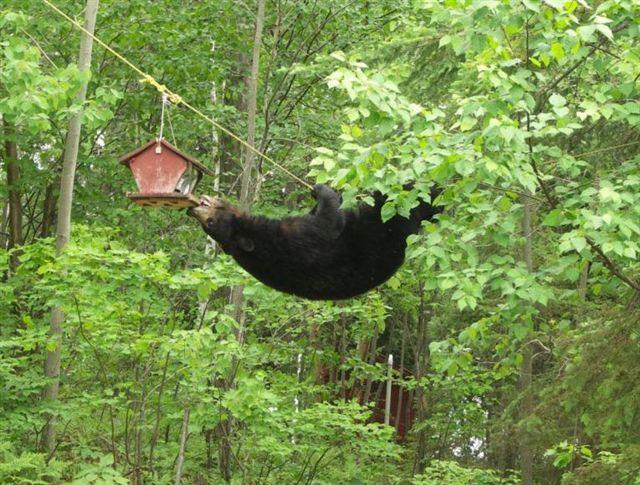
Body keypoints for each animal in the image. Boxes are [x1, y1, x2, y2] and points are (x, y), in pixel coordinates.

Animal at [188, 184, 442, 300]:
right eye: (210, 224)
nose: (194, 210)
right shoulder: (295, 240)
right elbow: (328, 223)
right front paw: (323, 191)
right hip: (389, 223)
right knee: (406, 204)